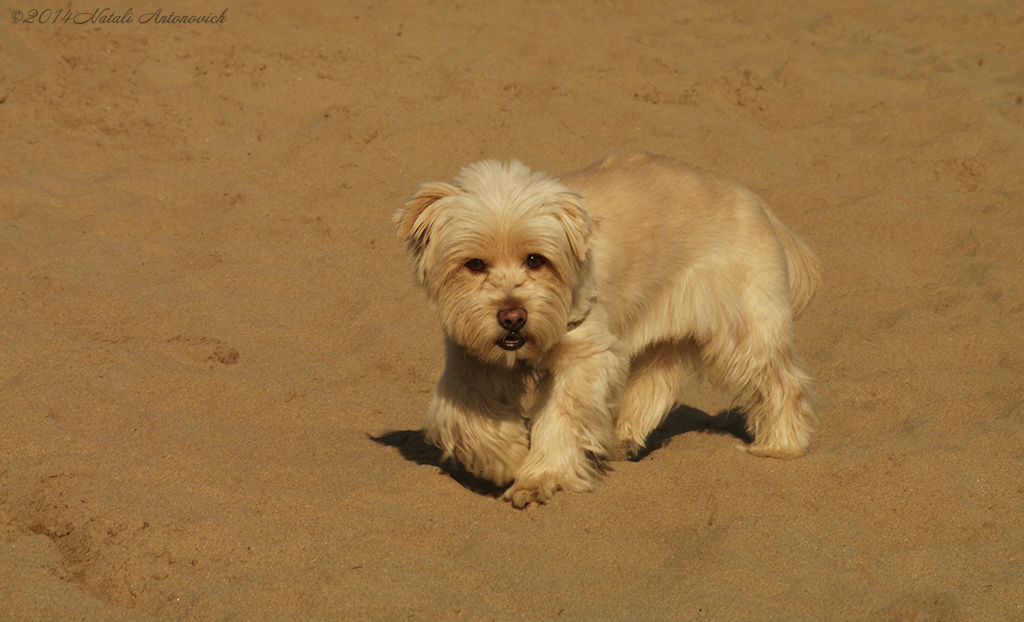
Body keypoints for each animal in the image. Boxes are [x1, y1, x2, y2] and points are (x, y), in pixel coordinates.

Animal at [395, 153, 819, 508]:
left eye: (535, 260)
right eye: (474, 264)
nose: (513, 316)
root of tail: (756, 202)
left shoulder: (585, 355)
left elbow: (562, 416)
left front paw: (539, 475)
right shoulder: (472, 359)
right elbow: (463, 411)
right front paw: (507, 458)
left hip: (744, 333)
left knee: (782, 383)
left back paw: (779, 445)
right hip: (661, 336)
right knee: (654, 385)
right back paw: (617, 441)